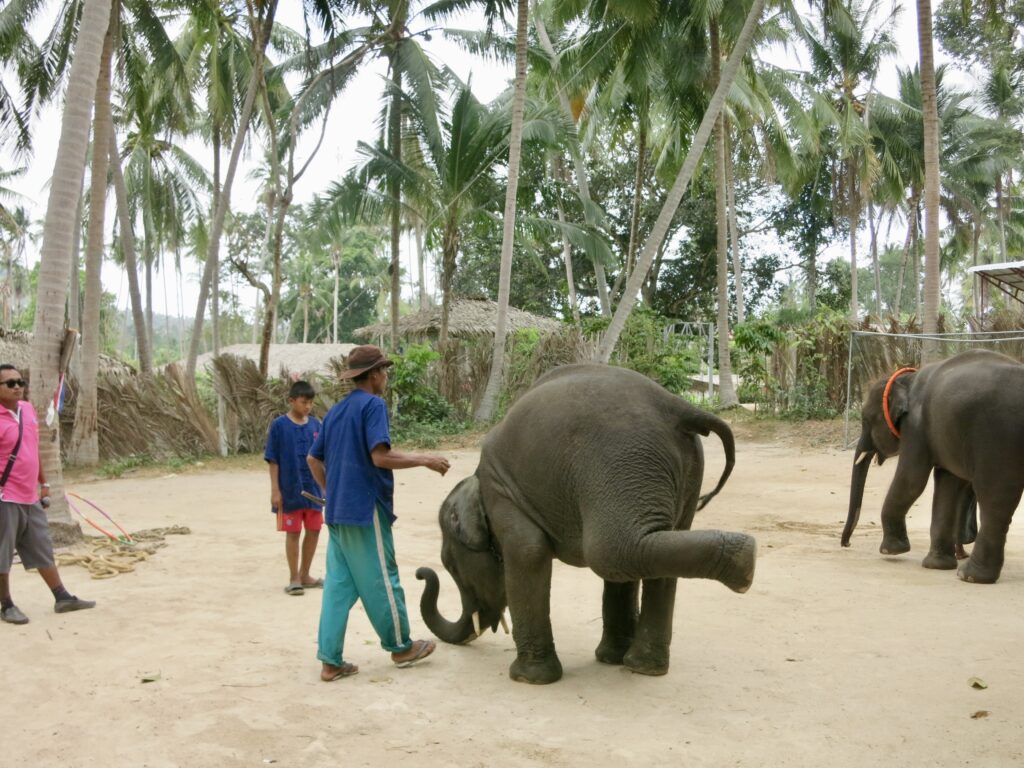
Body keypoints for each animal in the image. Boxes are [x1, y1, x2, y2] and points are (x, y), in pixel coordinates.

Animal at [411, 364, 757, 688]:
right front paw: (609, 660)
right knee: (646, 547)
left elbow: (528, 553)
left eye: (450, 565)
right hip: (665, 470)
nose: (420, 573)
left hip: (620, 460)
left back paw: (744, 562)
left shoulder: (504, 496)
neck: (476, 480)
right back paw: (646, 666)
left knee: (611, 551)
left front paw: (528, 679)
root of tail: (678, 406)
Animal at [839, 348, 1024, 581]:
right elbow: (947, 482)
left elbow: (911, 480)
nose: (846, 544)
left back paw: (969, 576)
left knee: (994, 499)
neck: (907, 379)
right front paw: (936, 565)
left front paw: (891, 550)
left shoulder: (915, 427)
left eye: (866, 419)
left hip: (998, 438)